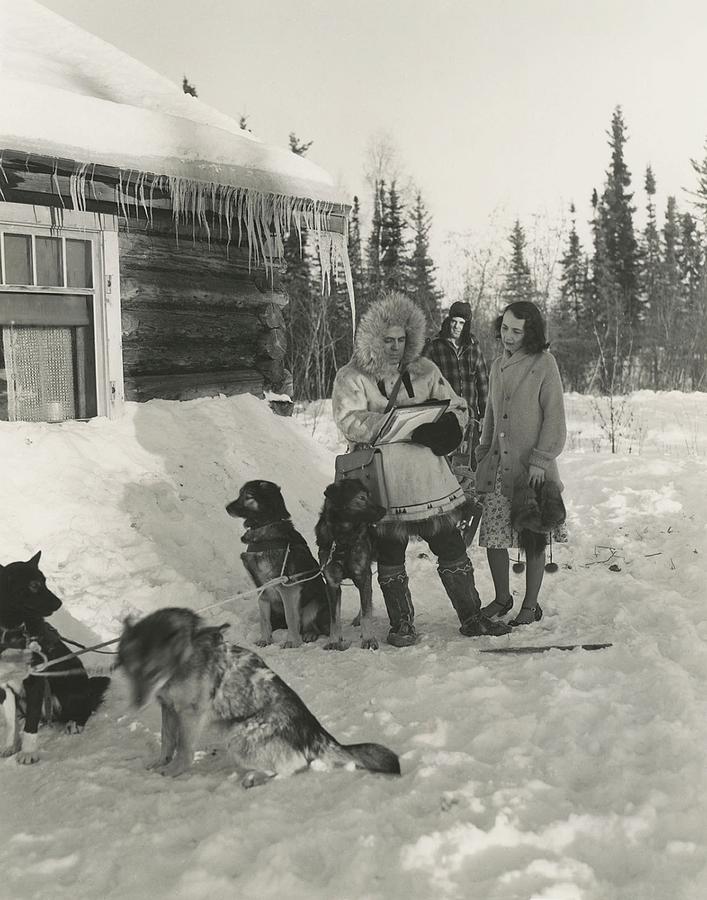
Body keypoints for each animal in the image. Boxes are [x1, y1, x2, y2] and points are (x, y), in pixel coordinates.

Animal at [0, 552, 110, 764]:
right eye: (34, 585)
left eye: (45, 581)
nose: (59, 604)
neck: (11, 632)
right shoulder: (4, 686)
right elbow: (10, 723)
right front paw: (10, 746)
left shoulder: (35, 681)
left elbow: (31, 724)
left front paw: (28, 752)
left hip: (66, 689)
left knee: (86, 708)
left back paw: (75, 723)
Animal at [119, 608, 402, 784]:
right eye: (130, 670)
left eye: (153, 671)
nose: (136, 703)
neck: (183, 656)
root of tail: (315, 734)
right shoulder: (168, 708)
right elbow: (167, 741)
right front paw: (160, 762)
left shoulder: (191, 714)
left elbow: (183, 749)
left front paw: (174, 770)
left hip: (238, 737)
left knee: (294, 766)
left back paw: (256, 778)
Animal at [227, 482, 332, 652]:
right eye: (239, 494)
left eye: (248, 496)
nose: (227, 507)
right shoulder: (262, 589)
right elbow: (264, 620)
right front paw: (265, 640)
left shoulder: (288, 588)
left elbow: (291, 618)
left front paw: (292, 642)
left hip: (313, 605)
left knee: (312, 626)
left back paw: (309, 634)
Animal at [316, 482, 388, 652]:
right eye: (361, 498)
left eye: (369, 495)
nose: (384, 510)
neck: (342, 538)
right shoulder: (332, 583)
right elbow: (334, 618)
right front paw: (334, 641)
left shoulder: (362, 575)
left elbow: (367, 614)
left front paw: (369, 639)